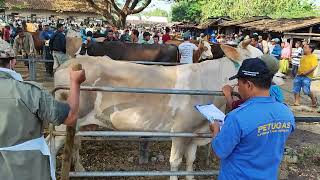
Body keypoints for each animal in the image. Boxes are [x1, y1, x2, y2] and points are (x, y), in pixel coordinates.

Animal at [52, 40, 262, 180]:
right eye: (257, 60)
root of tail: (69, 63)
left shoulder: (195, 132)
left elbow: (190, 161)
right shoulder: (180, 130)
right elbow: (175, 162)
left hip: (82, 123)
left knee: (75, 143)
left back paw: (79, 169)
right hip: (64, 123)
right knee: (53, 144)